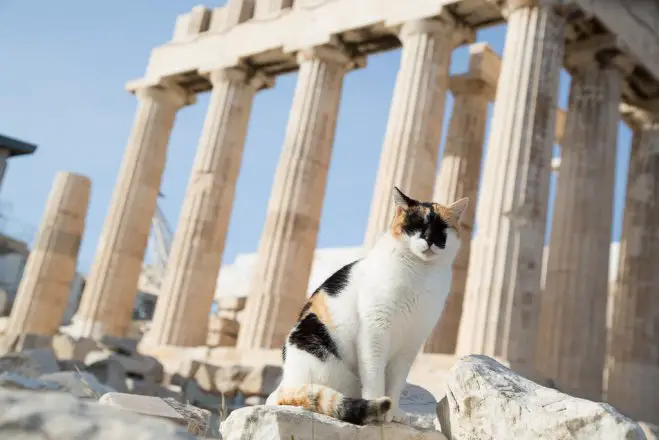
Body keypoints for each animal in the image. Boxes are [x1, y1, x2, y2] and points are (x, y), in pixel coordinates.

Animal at [264, 186, 470, 426]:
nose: (429, 239)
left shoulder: (412, 341)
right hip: (314, 344)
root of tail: (285, 383)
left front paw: (394, 411)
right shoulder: (375, 330)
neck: (421, 273)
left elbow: (397, 381)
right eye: (415, 225)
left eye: (441, 229)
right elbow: (374, 375)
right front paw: (379, 407)